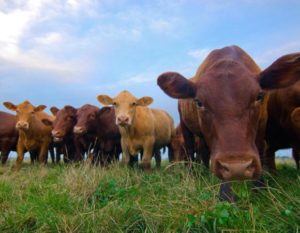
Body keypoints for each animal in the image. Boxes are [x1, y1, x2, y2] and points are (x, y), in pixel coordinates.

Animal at [156, 46, 300, 202]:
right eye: (199, 102)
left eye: (259, 96)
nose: (238, 168)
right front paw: (226, 194)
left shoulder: (262, 123)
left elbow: (261, 149)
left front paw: (259, 187)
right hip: (185, 127)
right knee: (190, 150)